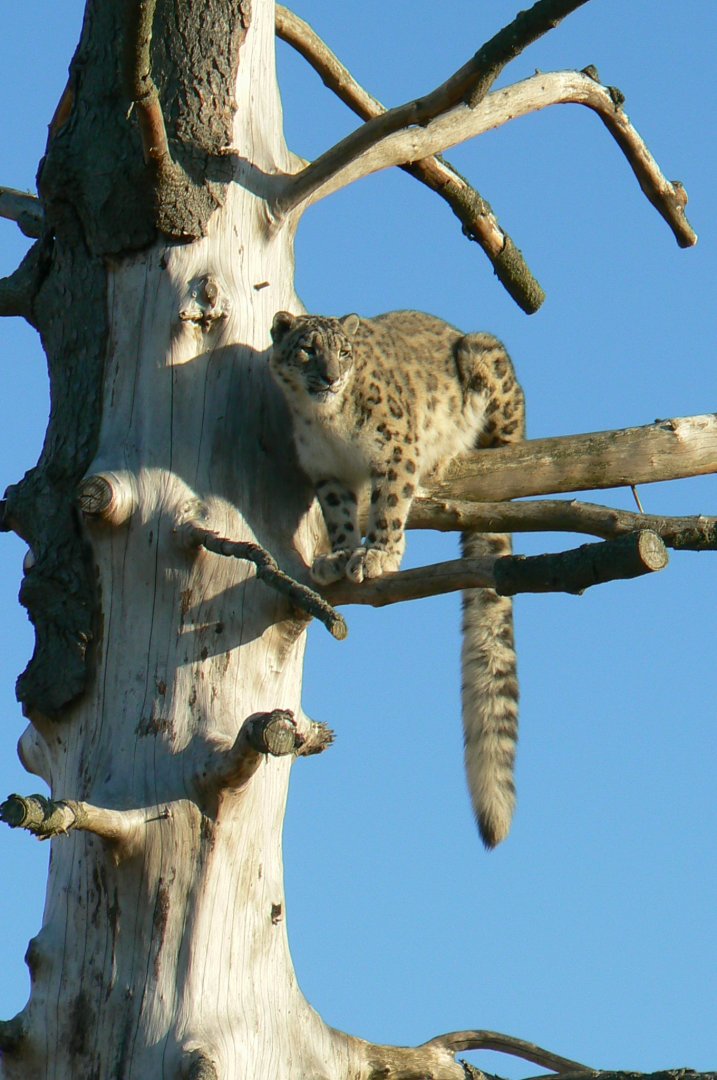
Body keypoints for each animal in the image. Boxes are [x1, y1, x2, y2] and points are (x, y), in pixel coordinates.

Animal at [268, 309, 525, 848]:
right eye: (307, 349)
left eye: (345, 352)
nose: (331, 377)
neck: (328, 426)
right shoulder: (327, 473)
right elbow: (339, 516)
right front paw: (340, 556)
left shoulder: (394, 449)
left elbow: (388, 503)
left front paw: (379, 555)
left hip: (484, 359)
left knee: (505, 439)